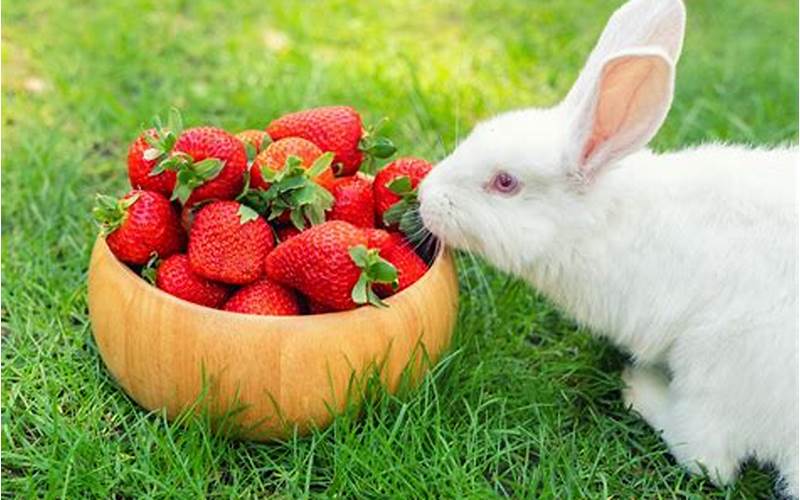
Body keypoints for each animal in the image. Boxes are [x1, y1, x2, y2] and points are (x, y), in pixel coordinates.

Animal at [418, 0, 800, 494]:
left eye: (505, 182)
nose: (424, 196)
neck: (607, 225)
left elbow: (709, 459)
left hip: (719, 361)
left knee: (705, 454)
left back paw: (639, 388)